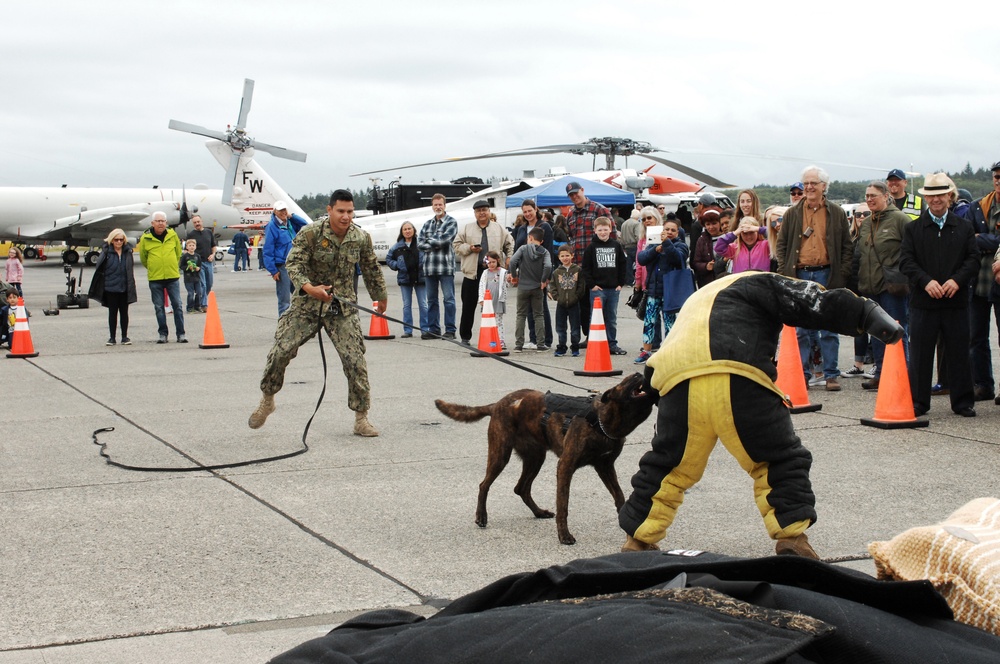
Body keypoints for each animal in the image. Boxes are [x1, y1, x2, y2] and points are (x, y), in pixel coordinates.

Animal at [436, 374, 656, 544]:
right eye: (632, 378)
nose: (644, 372)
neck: (601, 420)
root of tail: (497, 404)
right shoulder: (566, 466)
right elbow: (563, 505)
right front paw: (564, 535)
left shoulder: (605, 466)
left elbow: (618, 495)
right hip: (501, 454)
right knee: (484, 485)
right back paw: (481, 516)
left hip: (535, 458)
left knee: (521, 488)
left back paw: (538, 512)